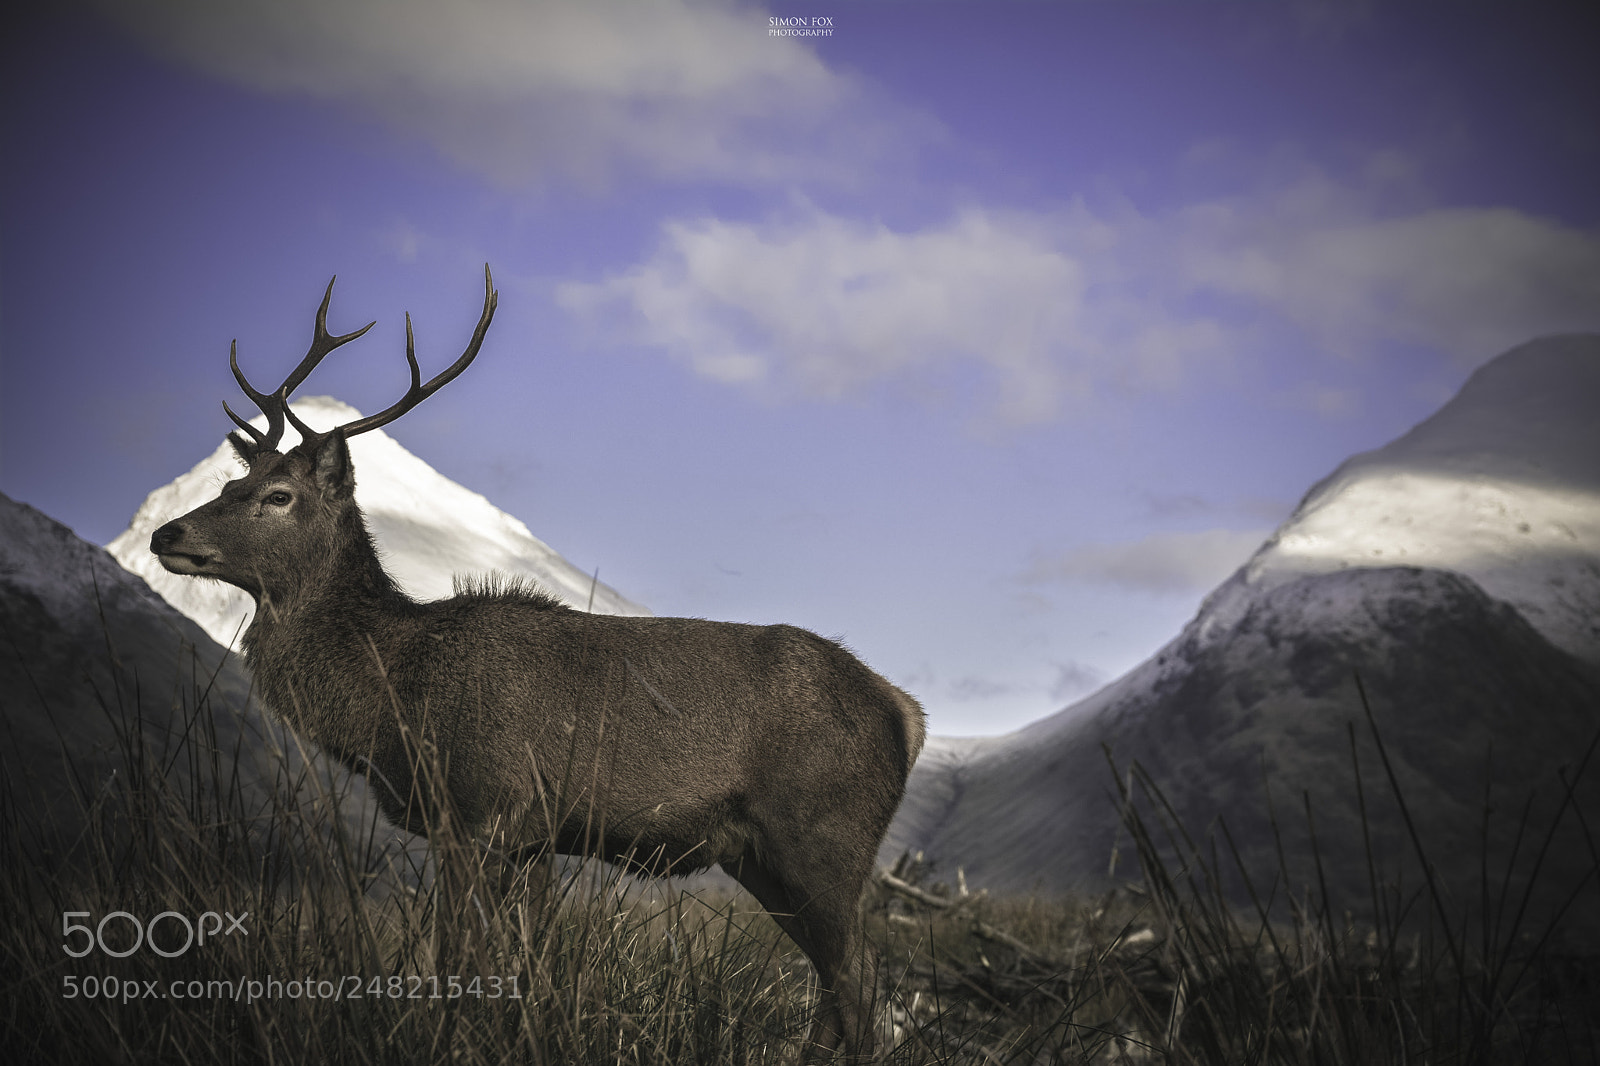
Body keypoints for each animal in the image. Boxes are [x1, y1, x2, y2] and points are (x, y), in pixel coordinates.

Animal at [149, 267, 926, 1062]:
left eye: (279, 496)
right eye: (229, 486)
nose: (165, 534)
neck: (393, 698)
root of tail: (907, 713)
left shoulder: (482, 807)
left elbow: (459, 959)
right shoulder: (528, 839)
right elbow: (522, 966)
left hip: (825, 835)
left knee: (863, 980)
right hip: (760, 856)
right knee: (836, 982)